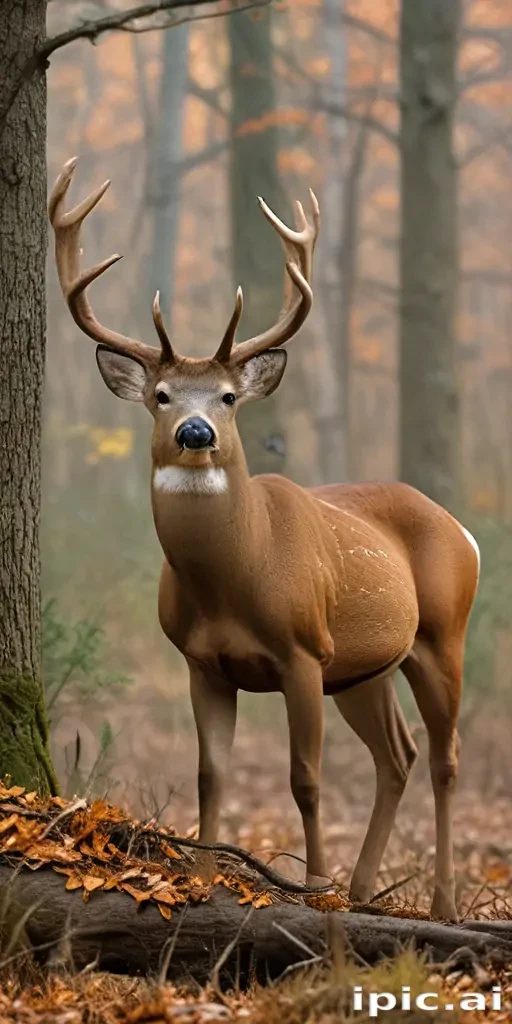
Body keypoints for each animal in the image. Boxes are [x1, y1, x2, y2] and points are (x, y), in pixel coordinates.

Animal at [49, 157, 480, 922]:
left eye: (227, 397)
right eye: (161, 396)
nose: (196, 432)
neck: (236, 582)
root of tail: (461, 529)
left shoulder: (303, 650)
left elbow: (304, 776)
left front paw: (313, 886)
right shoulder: (202, 661)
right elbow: (210, 774)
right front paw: (198, 876)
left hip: (440, 635)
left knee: (444, 757)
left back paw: (441, 902)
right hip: (364, 667)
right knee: (395, 755)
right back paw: (365, 890)